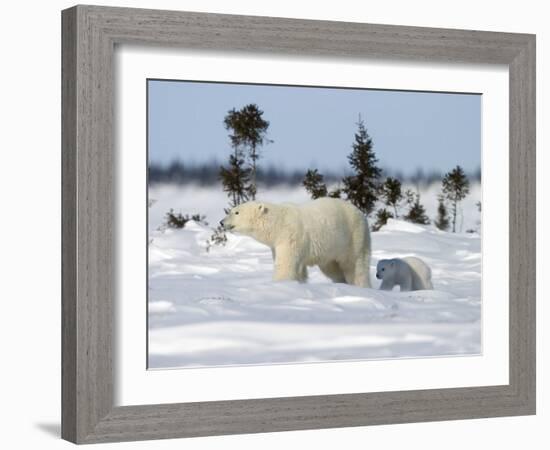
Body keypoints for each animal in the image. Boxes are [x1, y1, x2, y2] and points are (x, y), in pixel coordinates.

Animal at [222, 198, 374, 288]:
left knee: (355, 264)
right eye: (231, 210)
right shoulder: (277, 244)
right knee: (332, 268)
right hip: (331, 249)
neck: (278, 223)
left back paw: (360, 286)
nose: (221, 222)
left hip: (354, 237)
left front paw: (279, 284)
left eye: (236, 212)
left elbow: (286, 264)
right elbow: (299, 269)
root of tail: (361, 213)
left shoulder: (290, 237)